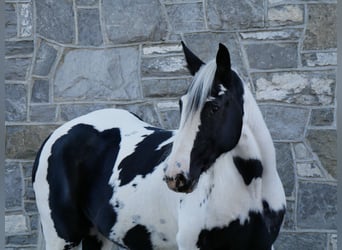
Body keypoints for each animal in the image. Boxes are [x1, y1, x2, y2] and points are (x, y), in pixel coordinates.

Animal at [32, 43, 286, 250]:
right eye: (181, 104)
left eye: (214, 108)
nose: (176, 176)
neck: (250, 185)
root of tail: (57, 134)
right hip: (61, 238)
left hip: (98, 236)